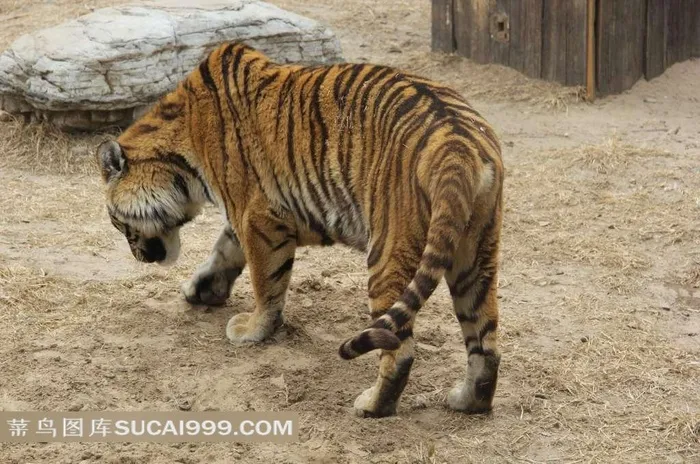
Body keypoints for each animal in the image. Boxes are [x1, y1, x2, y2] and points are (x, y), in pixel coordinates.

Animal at [97, 41, 504, 418]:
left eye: (116, 221)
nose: (138, 256)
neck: (183, 154)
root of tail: (459, 143)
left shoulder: (257, 216)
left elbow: (265, 282)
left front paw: (253, 330)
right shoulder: (244, 216)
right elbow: (222, 252)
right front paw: (200, 290)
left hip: (390, 252)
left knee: (399, 349)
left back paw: (372, 405)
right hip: (474, 257)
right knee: (486, 345)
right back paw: (468, 400)